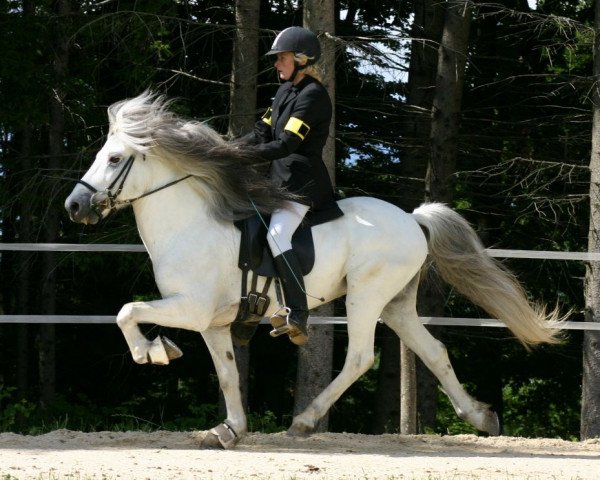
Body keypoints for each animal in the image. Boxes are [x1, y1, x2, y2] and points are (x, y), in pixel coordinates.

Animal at [64, 92, 564, 448]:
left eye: (113, 159)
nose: (75, 206)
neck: (189, 223)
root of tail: (413, 219)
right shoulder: (212, 321)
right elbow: (227, 373)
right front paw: (229, 429)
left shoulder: (190, 308)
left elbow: (127, 312)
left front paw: (155, 351)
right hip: (396, 304)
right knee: (434, 352)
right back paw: (482, 417)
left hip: (366, 296)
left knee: (360, 357)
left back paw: (304, 421)